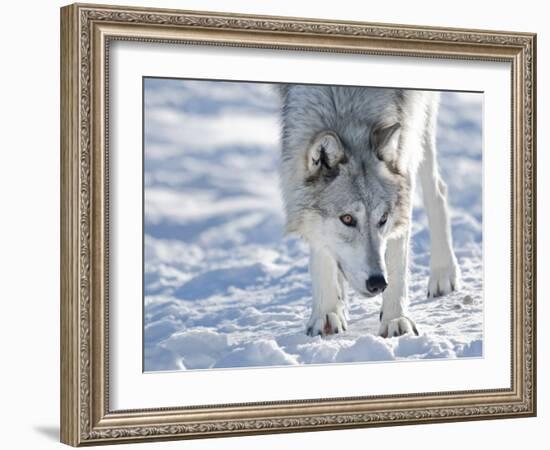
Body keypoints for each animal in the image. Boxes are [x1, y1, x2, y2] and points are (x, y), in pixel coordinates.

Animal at [278, 84, 464, 338]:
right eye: (347, 219)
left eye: (383, 219)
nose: (377, 283)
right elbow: (320, 247)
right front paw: (327, 313)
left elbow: (397, 257)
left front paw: (396, 319)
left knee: (438, 191)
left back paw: (443, 273)